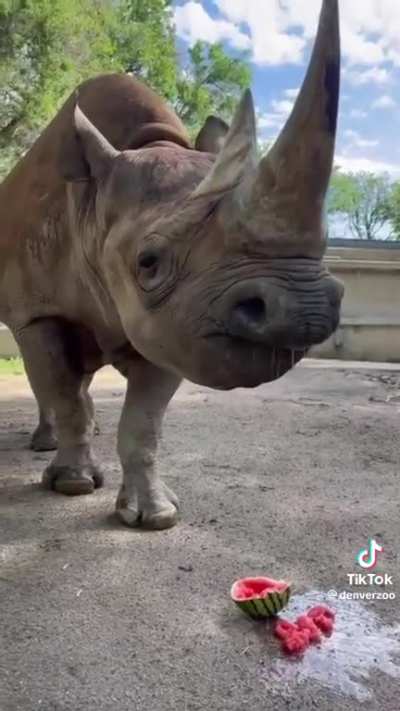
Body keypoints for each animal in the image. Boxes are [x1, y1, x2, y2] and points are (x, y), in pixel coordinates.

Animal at [0, 0, 343, 529]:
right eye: (149, 262)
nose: (306, 309)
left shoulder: (176, 322)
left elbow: (144, 424)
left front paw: (154, 514)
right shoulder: (38, 310)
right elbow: (61, 388)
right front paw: (73, 486)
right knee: (54, 379)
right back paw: (47, 446)